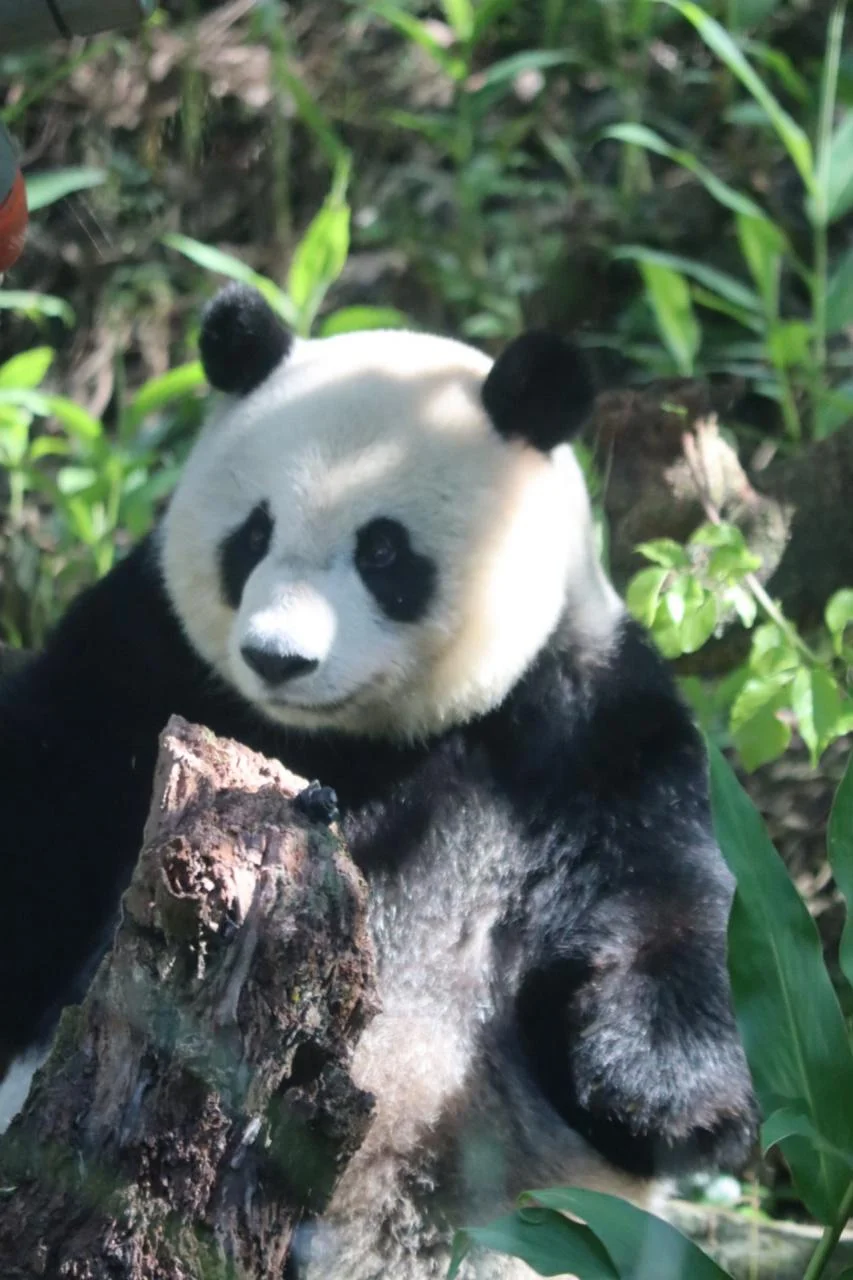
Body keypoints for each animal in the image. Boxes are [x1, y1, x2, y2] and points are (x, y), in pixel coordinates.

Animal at [0, 284, 756, 1277]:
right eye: (253, 535)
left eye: (384, 553)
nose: (276, 658)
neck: (357, 744)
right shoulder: (139, 657)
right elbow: (43, 805)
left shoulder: (578, 716)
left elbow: (663, 895)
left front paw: (666, 1097)